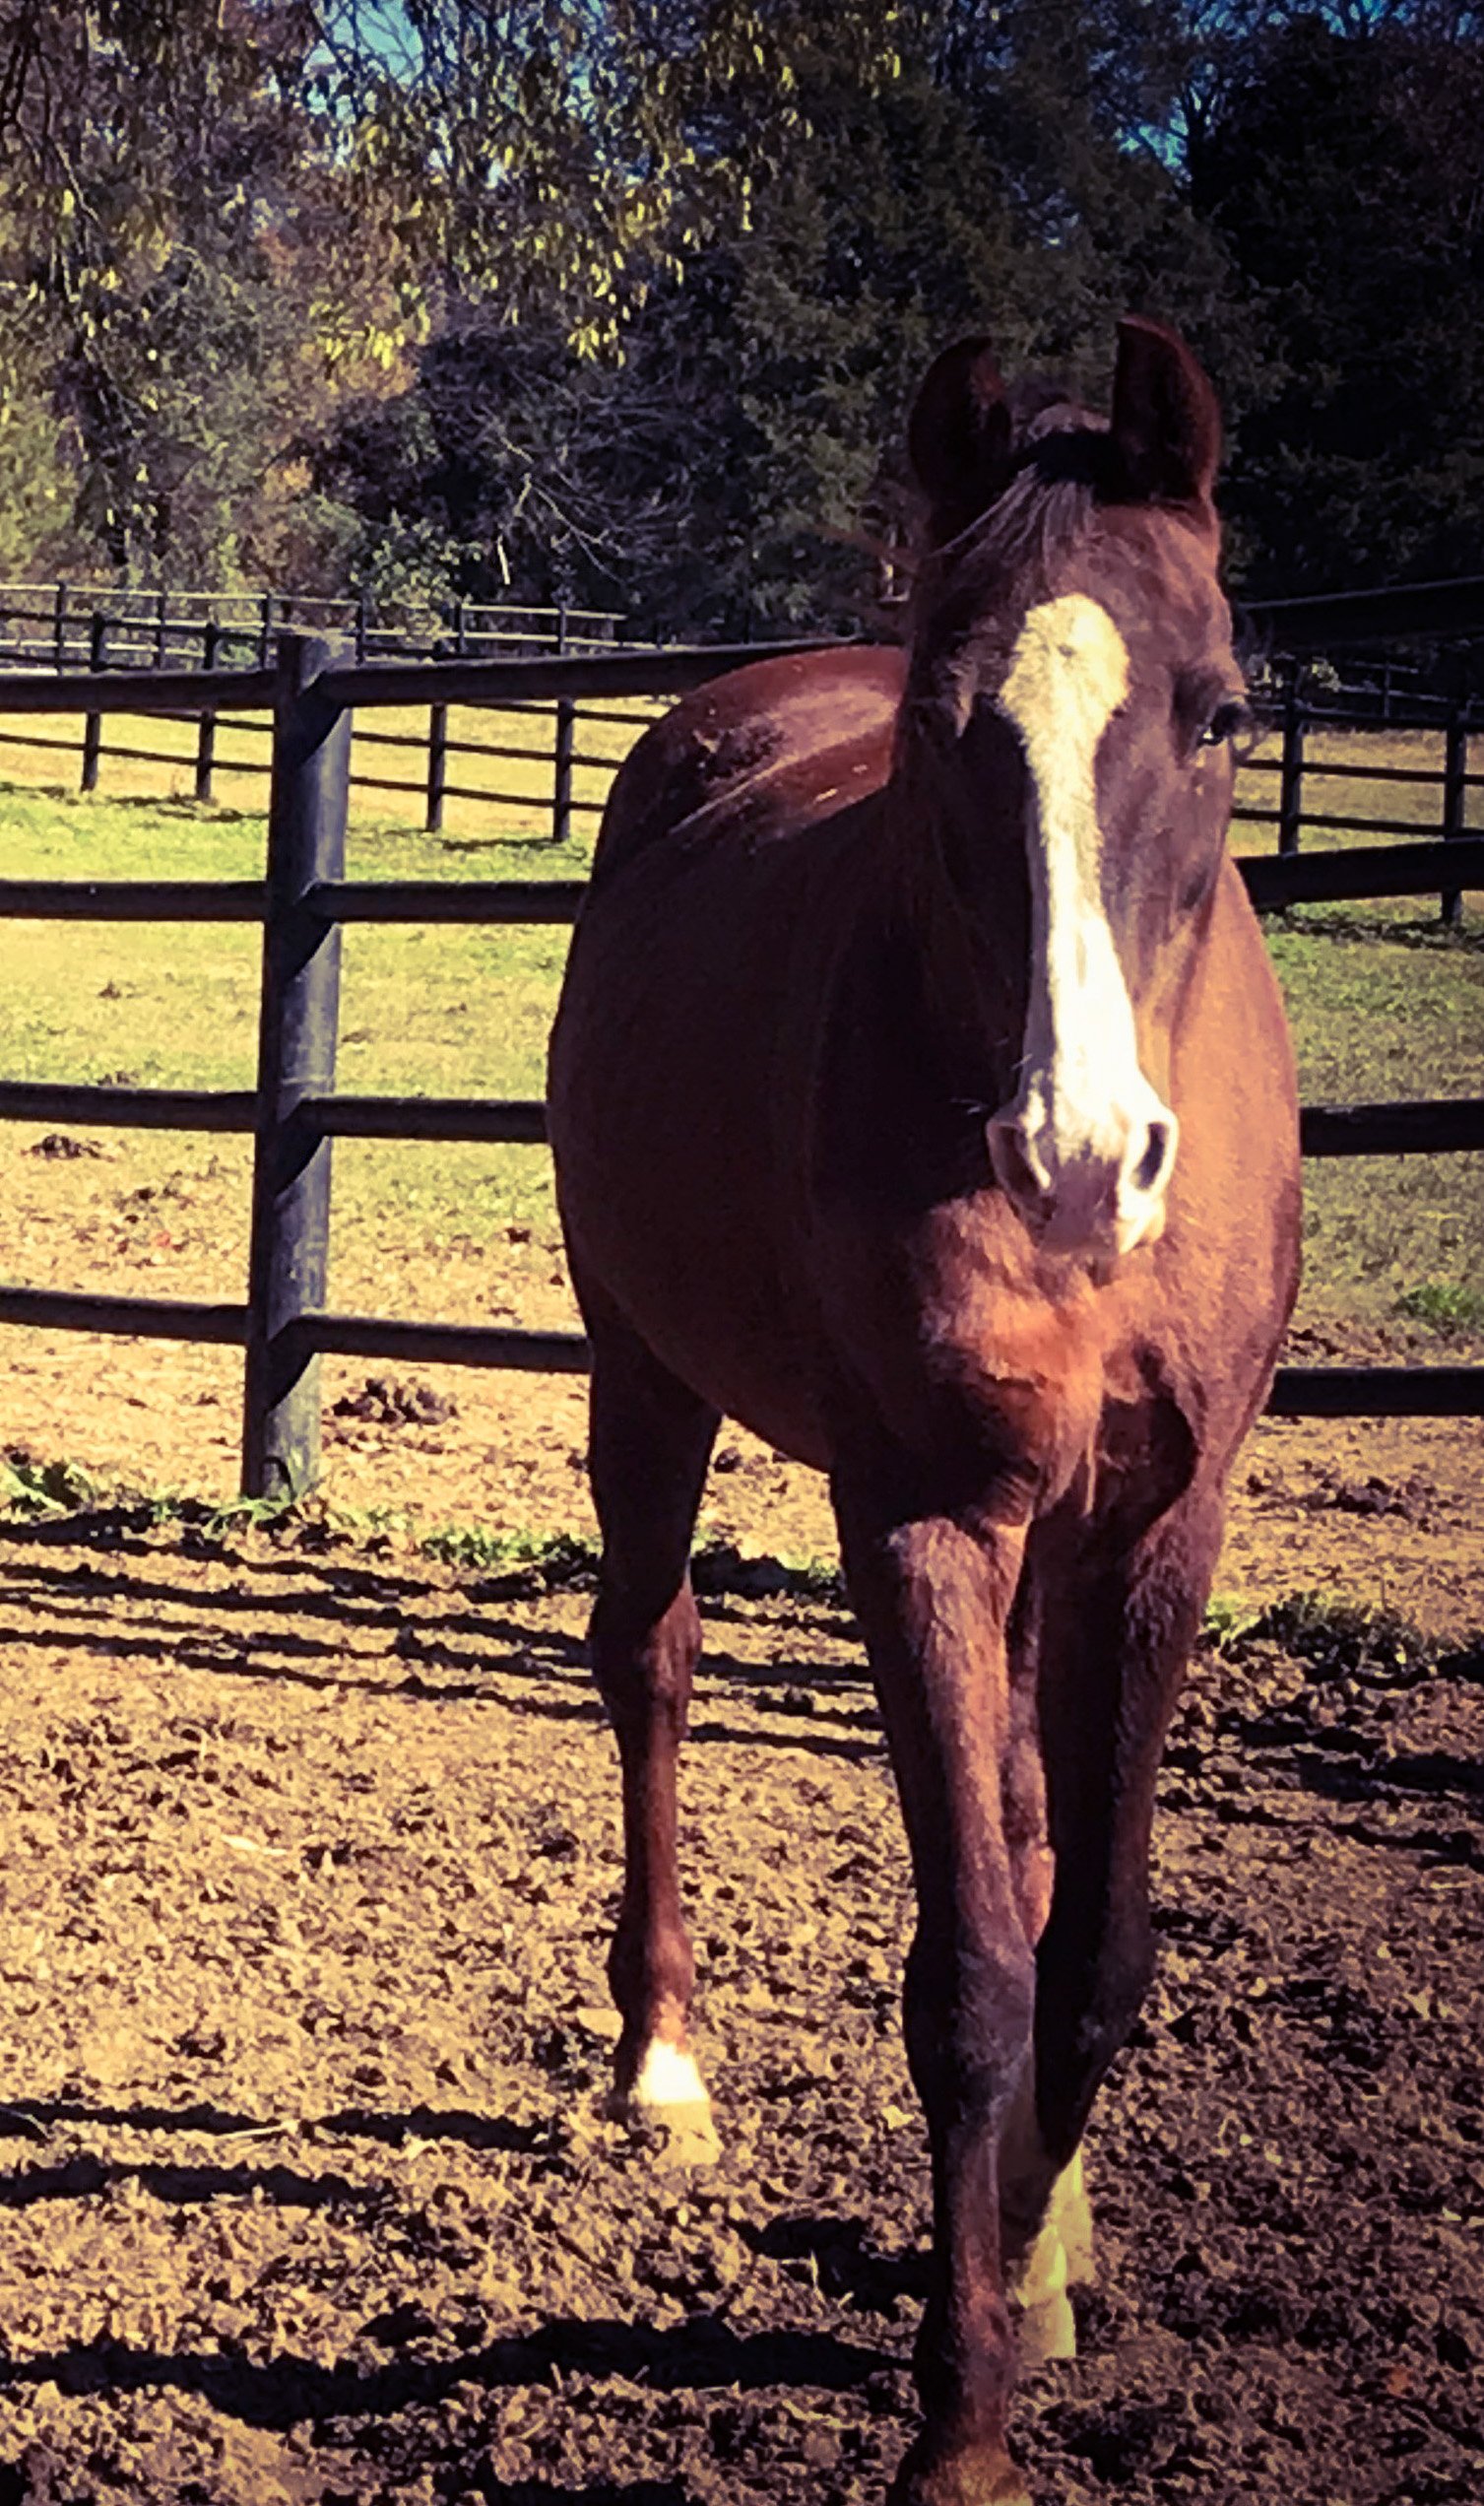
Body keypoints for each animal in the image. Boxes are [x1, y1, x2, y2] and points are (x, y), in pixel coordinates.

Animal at [546, 316, 1302, 2506]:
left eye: (1224, 714)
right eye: (946, 729)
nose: (1080, 1155)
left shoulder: (1150, 1526)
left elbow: (1092, 1947)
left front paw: (1034, 2286)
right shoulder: (923, 1519)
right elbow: (968, 1974)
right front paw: (957, 2422)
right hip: (643, 1370)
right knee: (652, 1657)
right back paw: (658, 2057)